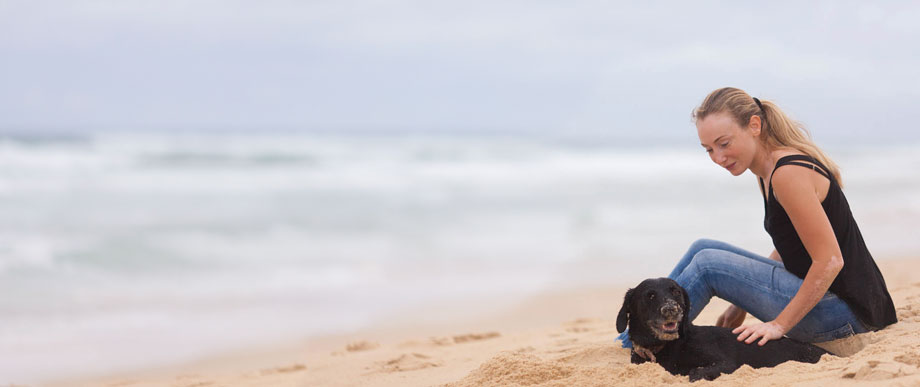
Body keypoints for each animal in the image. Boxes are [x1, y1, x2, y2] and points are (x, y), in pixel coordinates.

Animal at [620, 278, 828, 382]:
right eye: (650, 296)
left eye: (676, 292)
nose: (672, 309)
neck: (667, 346)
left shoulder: (725, 363)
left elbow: (696, 372)